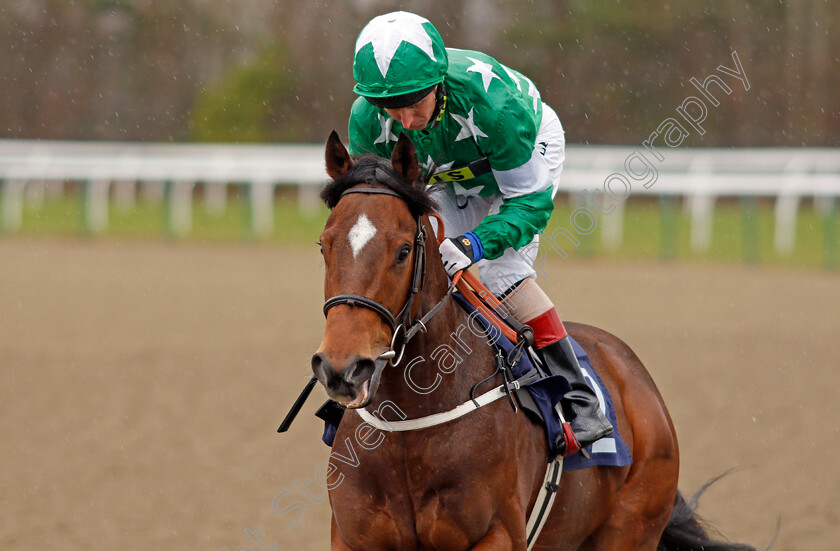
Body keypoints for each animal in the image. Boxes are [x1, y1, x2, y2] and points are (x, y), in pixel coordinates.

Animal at [310, 133, 756, 551]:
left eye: (403, 251)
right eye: (324, 244)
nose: (342, 368)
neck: (410, 427)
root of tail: (636, 375)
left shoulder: (498, 534)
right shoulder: (351, 537)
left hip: (632, 527)